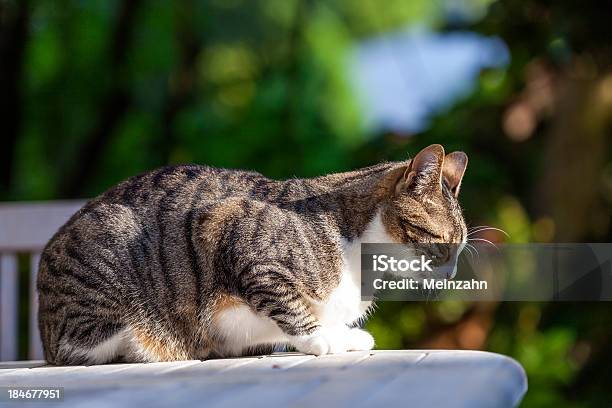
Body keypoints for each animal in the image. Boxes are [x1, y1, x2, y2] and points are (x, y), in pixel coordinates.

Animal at [38, 143, 468, 364]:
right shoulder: (230, 231)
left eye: (460, 249)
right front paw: (319, 338)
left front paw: (344, 334)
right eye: (442, 242)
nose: (451, 275)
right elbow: (287, 305)